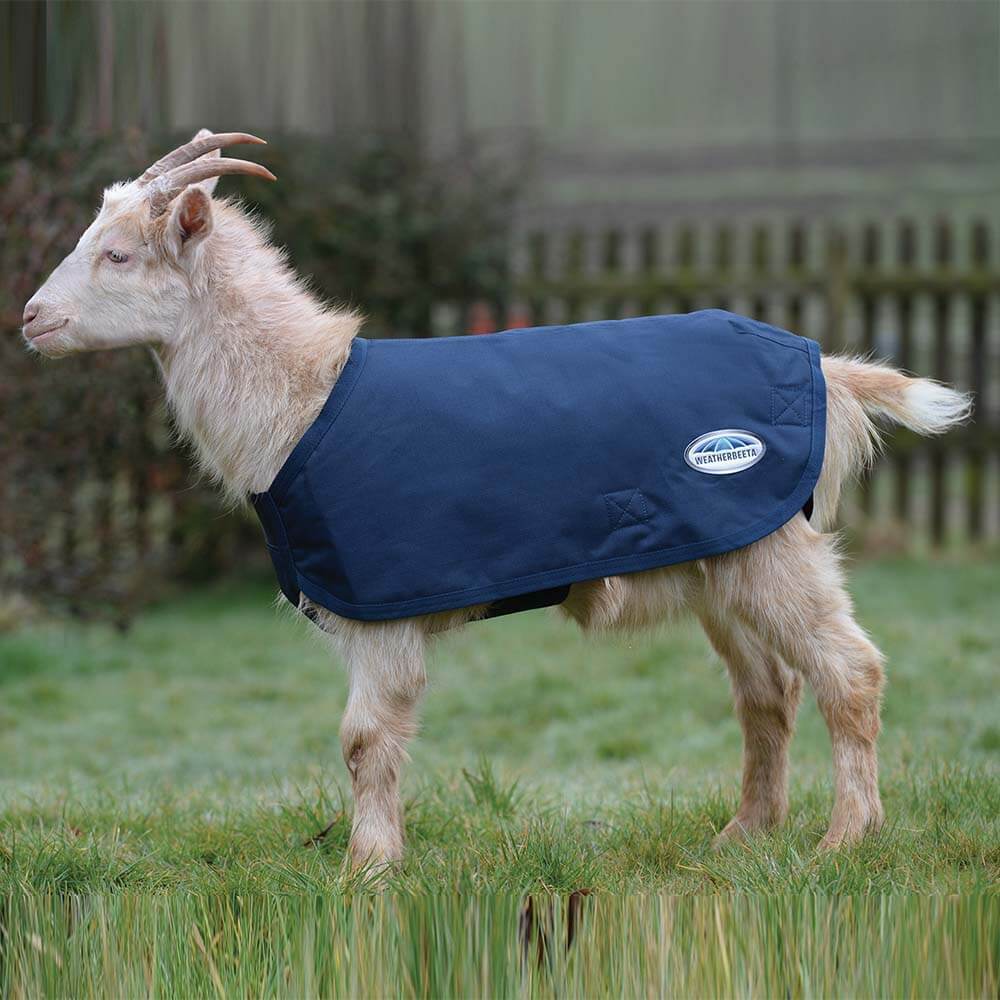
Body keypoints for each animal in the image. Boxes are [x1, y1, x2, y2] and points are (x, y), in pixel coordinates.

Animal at [22, 131, 970, 869]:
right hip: (723, 553)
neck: (304, 400)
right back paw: (743, 837)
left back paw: (845, 839)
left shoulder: (381, 608)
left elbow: (364, 741)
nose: (31, 319)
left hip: (772, 549)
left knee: (850, 671)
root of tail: (826, 369)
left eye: (118, 254)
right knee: (768, 691)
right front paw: (376, 862)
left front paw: (365, 872)